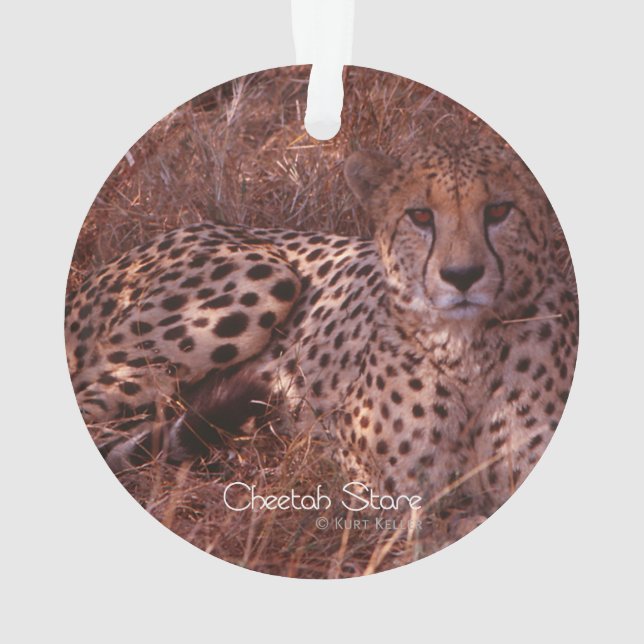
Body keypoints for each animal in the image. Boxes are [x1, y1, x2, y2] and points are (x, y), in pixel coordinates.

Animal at [65, 136, 578, 512]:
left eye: (498, 211)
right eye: (420, 215)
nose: (462, 275)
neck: (469, 351)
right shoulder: (380, 487)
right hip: (264, 277)